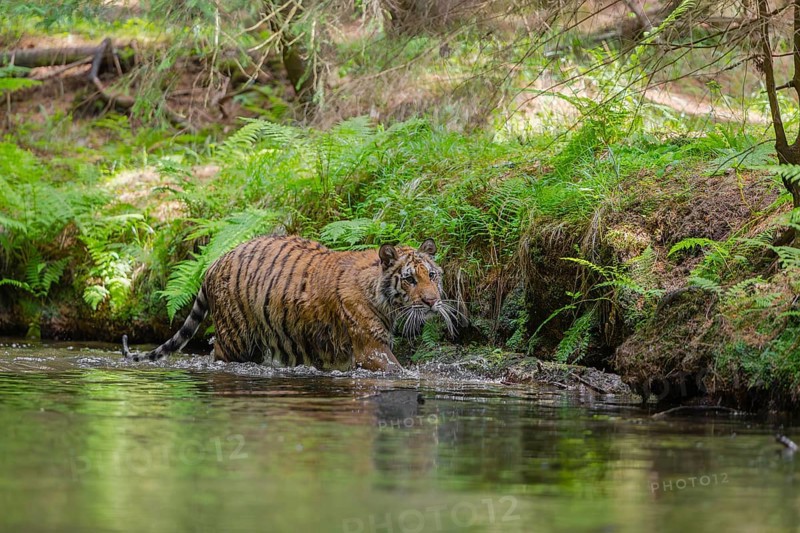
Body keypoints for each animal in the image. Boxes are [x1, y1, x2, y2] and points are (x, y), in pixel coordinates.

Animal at [121, 235, 457, 372]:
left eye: (431, 275)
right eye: (410, 279)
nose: (432, 301)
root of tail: (215, 261)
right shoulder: (371, 348)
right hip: (235, 338)